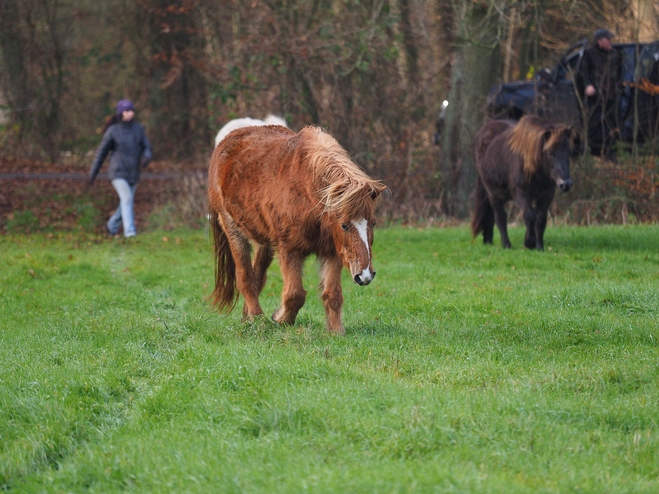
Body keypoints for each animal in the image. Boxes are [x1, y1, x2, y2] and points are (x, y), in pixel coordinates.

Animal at [209, 125, 386, 336]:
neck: (307, 191)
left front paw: (336, 331)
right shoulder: (289, 250)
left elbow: (332, 294)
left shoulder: (331, 252)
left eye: (373, 223)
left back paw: (248, 319)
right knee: (245, 277)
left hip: (264, 242)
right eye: (344, 225)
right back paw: (259, 321)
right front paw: (281, 319)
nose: (365, 275)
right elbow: (295, 294)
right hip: (233, 230)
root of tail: (225, 142)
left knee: (257, 275)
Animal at [472, 116, 576, 251]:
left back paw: (488, 240)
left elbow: (541, 219)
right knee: (500, 217)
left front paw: (539, 246)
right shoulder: (521, 193)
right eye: (549, 153)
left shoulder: (546, 195)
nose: (566, 184)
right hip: (493, 193)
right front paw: (529, 242)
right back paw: (506, 244)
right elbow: (529, 215)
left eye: (569, 152)